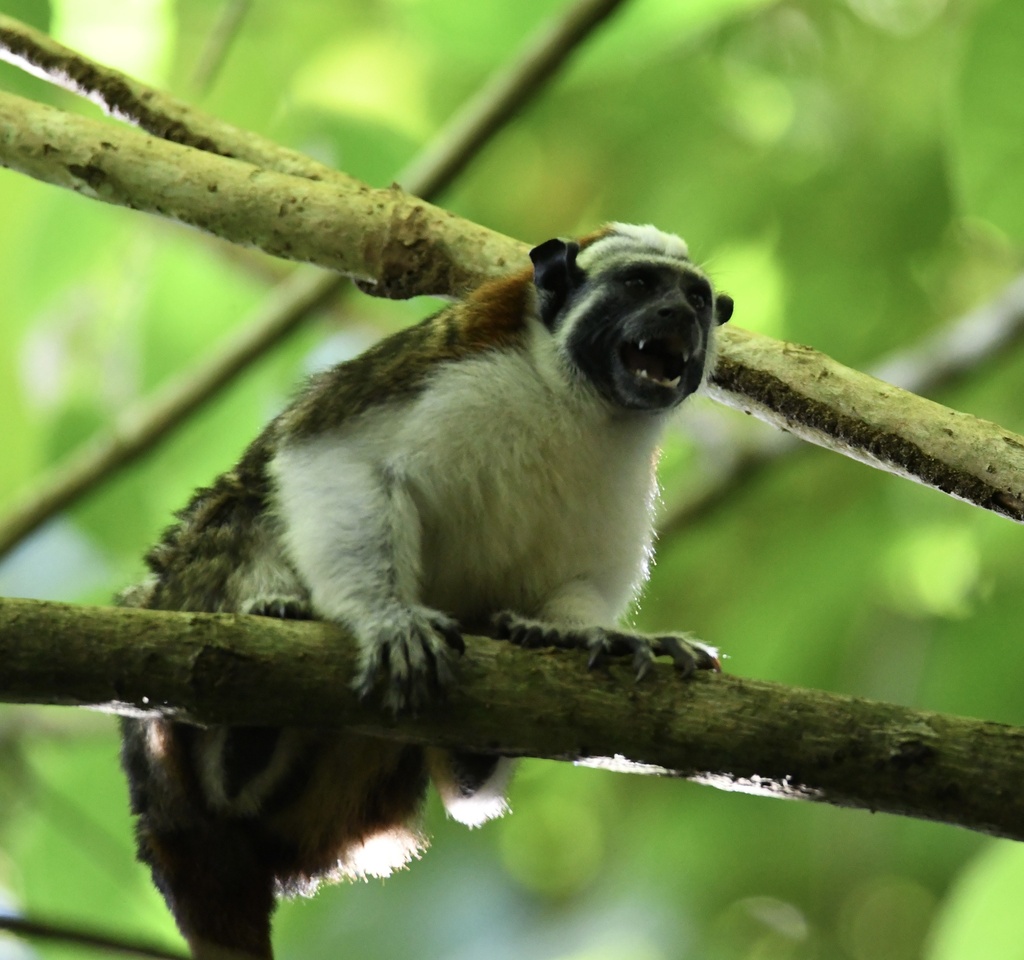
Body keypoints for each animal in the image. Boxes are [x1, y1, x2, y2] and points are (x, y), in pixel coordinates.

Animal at [116, 223, 733, 957]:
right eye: (642, 285)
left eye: (696, 300)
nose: (676, 316)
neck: (571, 402)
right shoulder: (441, 376)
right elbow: (330, 459)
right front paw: (385, 619)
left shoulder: (626, 471)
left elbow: (581, 580)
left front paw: (578, 632)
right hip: (180, 618)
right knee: (246, 513)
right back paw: (247, 707)